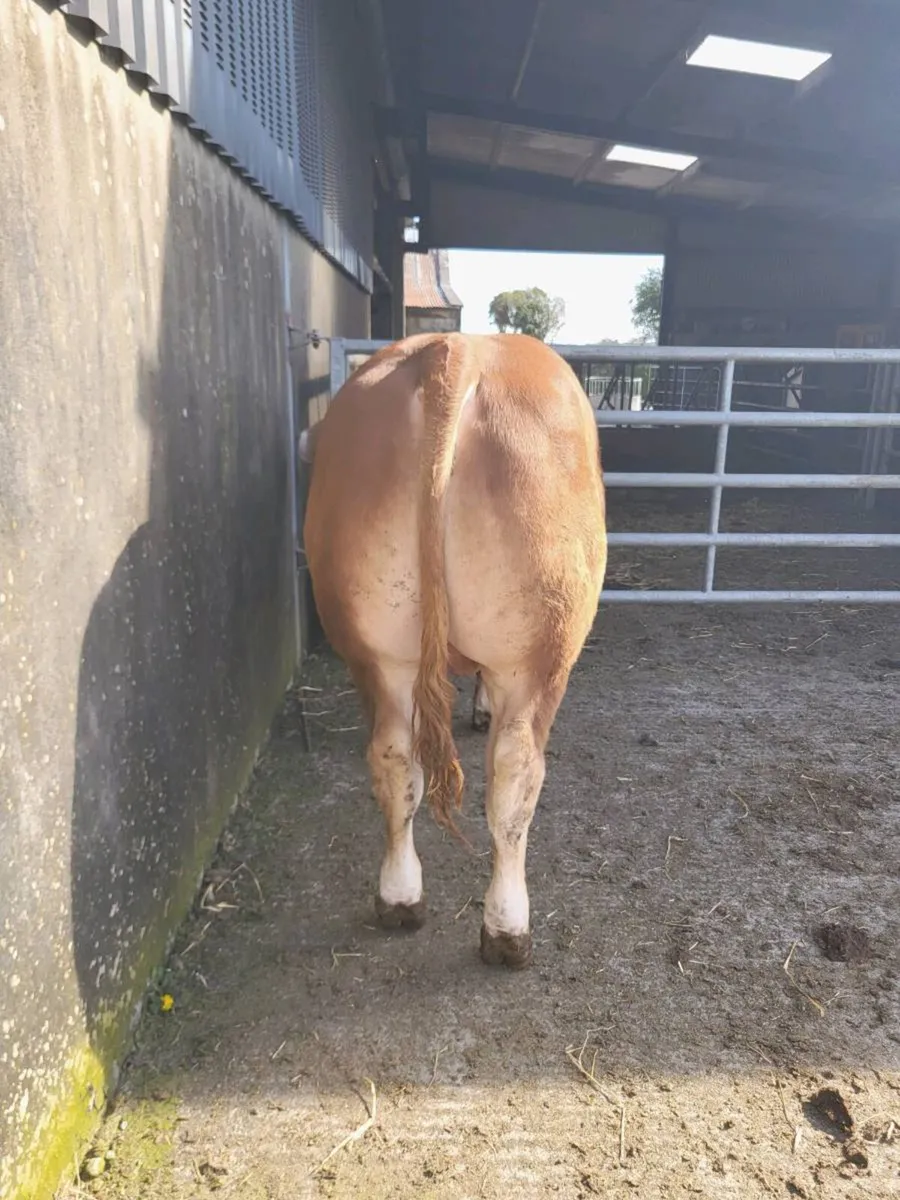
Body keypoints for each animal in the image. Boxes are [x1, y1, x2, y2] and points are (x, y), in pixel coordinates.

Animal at [302, 332, 606, 968]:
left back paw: (399, 898)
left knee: (394, 758)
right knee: (515, 776)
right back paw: (508, 929)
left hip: (378, 649)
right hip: (539, 653)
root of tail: (454, 348)